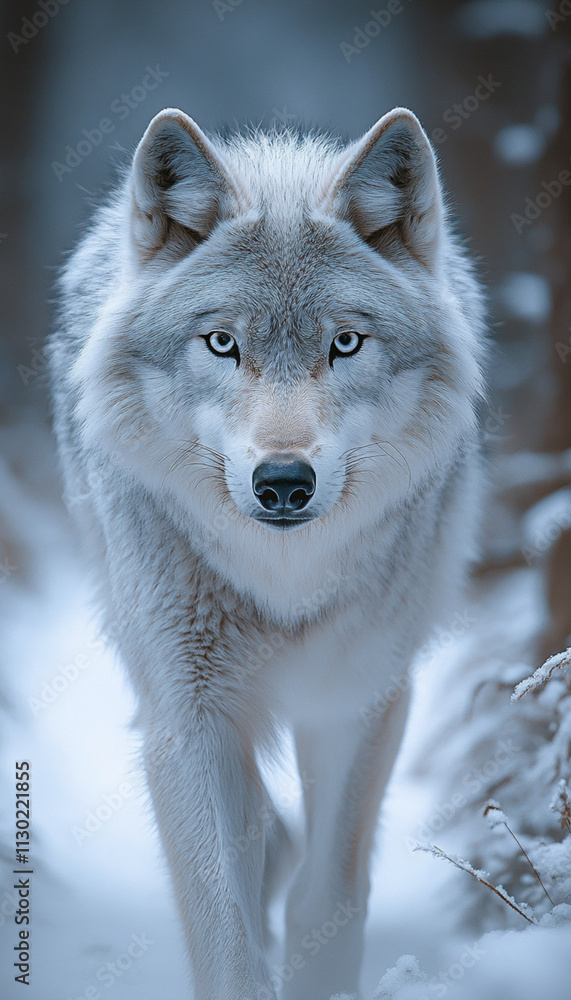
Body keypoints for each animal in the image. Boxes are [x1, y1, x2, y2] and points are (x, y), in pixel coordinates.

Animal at [49, 106, 485, 1000]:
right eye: (222, 344)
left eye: (345, 344)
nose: (283, 481)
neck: (283, 583)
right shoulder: (189, 716)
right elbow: (225, 921)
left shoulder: (358, 697)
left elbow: (328, 896)